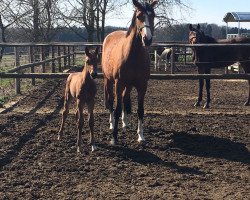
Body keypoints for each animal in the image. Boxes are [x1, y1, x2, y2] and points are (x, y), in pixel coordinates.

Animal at [101, 0, 156, 144]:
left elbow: (140, 110)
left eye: (153, 15)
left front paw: (141, 135)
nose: (147, 39)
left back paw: (125, 123)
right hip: (108, 81)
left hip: (129, 85)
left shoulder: (142, 86)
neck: (134, 55)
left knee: (125, 98)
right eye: (138, 16)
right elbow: (117, 108)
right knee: (111, 101)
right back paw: (112, 123)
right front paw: (114, 138)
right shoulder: (118, 84)